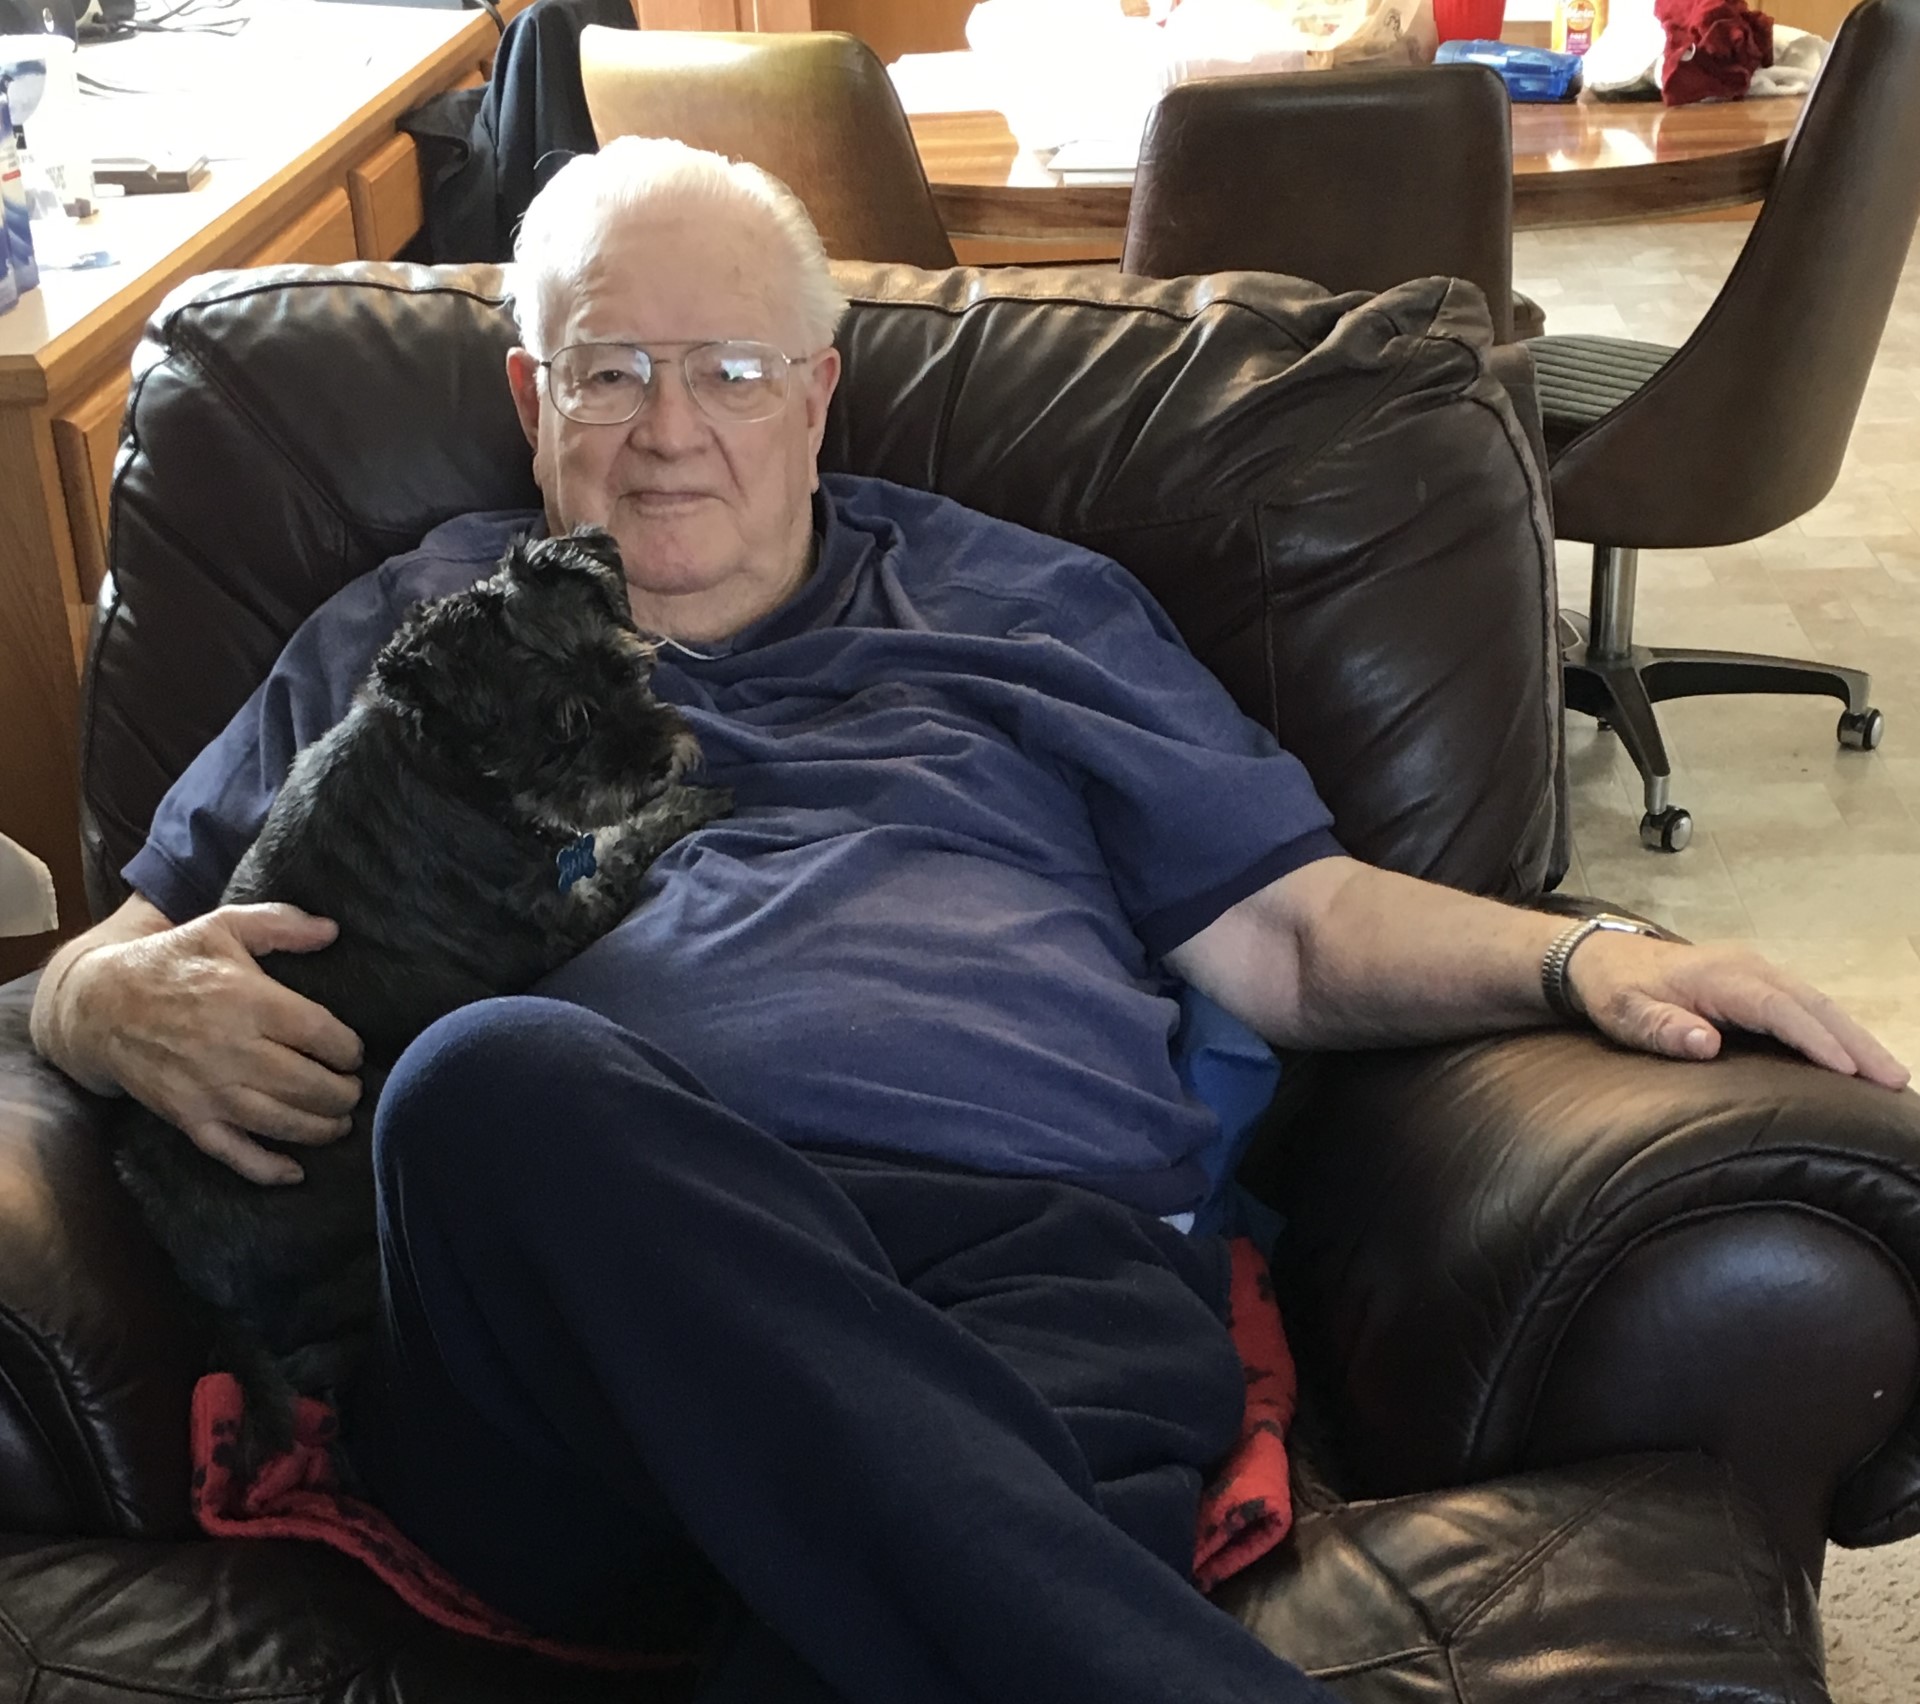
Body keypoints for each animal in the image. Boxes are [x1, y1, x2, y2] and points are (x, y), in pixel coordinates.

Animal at [112, 527, 729, 1469]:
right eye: (566, 720)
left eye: (630, 668)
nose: (662, 757)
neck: (445, 771)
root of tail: (177, 1254)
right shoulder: (560, 918)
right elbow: (625, 840)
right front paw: (692, 802)